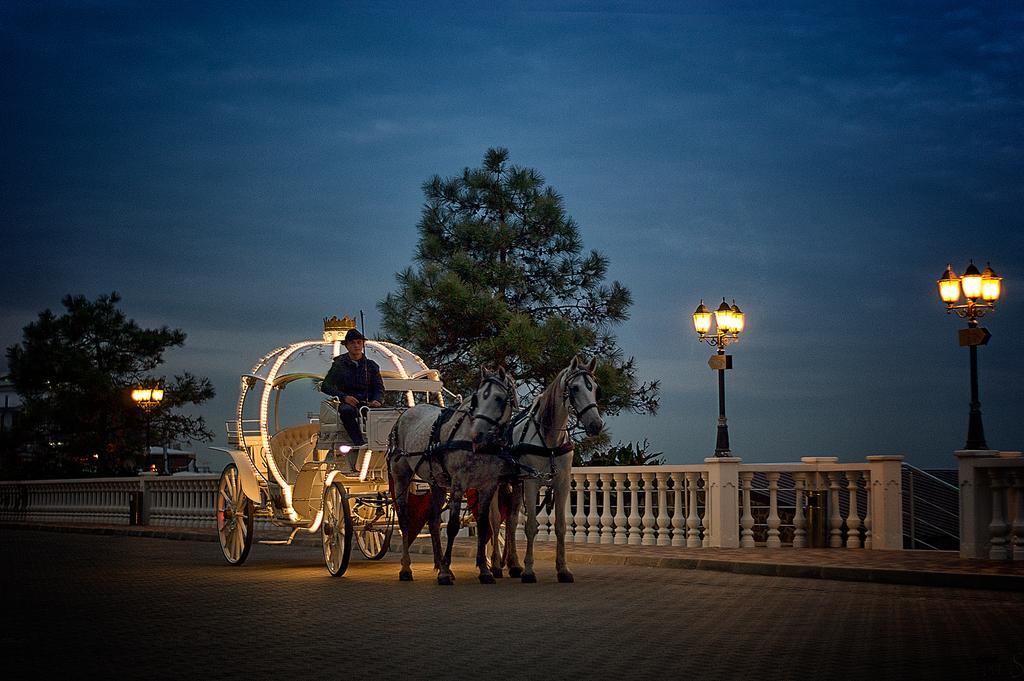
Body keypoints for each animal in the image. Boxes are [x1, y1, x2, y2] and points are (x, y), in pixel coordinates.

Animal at [387, 366, 516, 585]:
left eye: (499, 398)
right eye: (476, 399)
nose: (477, 434)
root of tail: (405, 414)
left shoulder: (488, 486)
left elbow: (484, 525)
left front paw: (484, 570)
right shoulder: (458, 484)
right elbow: (453, 526)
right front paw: (446, 571)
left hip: (436, 482)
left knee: (433, 521)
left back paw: (438, 564)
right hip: (400, 476)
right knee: (405, 520)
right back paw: (406, 568)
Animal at [499, 356, 602, 585]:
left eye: (595, 388)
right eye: (575, 388)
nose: (596, 425)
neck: (550, 440)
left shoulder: (562, 483)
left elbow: (561, 526)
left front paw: (563, 569)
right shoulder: (531, 482)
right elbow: (530, 526)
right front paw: (529, 571)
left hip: (516, 483)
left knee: (511, 520)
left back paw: (513, 564)